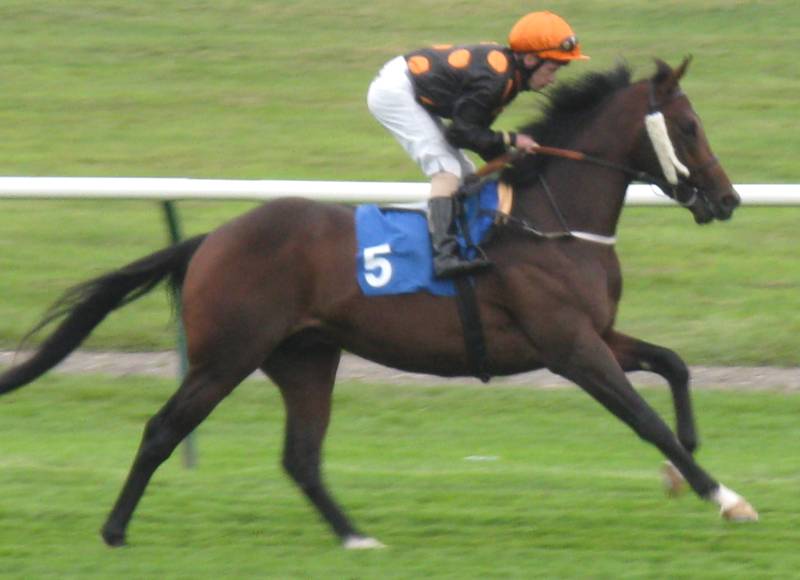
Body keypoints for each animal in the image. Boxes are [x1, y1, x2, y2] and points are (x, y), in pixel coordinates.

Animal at [0, 57, 757, 550]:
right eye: (689, 126)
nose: (727, 200)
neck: (552, 217)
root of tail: (212, 237)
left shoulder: (598, 333)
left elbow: (675, 365)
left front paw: (683, 469)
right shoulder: (570, 347)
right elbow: (644, 419)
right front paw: (726, 498)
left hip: (304, 357)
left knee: (301, 456)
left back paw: (356, 538)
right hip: (225, 355)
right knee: (163, 430)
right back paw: (114, 530)